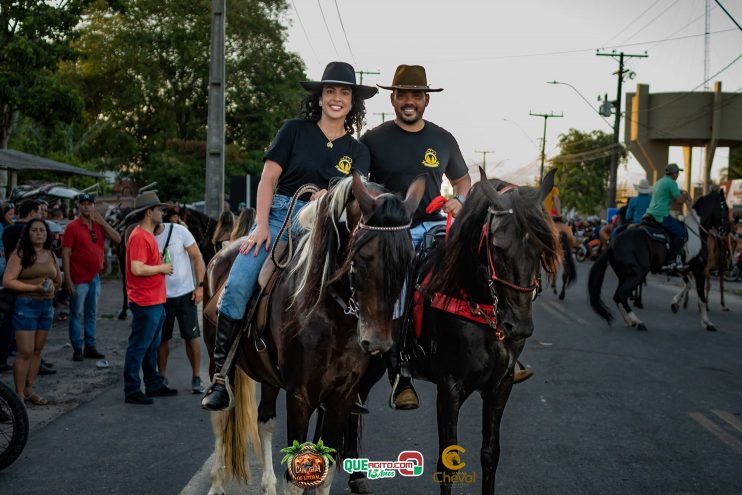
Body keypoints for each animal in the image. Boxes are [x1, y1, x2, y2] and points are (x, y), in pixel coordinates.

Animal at [205, 171, 424, 495]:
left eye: (407, 256)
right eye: (363, 253)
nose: (377, 341)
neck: (329, 315)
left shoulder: (340, 399)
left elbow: (325, 472)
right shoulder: (300, 396)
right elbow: (297, 476)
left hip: (268, 376)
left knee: (264, 420)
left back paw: (267, 485)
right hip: (216, 362)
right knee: (220, 418)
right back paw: (218, 482)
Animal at [346, 169, 560, 494]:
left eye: (540, 246)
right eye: (498, 246)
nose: (518, 325)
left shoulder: (501, 386)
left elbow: (490, 454)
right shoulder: (449, 388)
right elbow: (447, 463)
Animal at [592, 190, 732, 334]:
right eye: (726, 208)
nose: (728, 230)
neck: (695, 233)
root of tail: (613, 243)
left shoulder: (682, 269)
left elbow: (688, 285)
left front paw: (675, 304)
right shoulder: (699, 270)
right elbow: (702, 298)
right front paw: (707, 323)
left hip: (624, 275)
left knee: (618, 296)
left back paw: (629, 321)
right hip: (638, 274)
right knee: (621, 294)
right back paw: (638, 322)